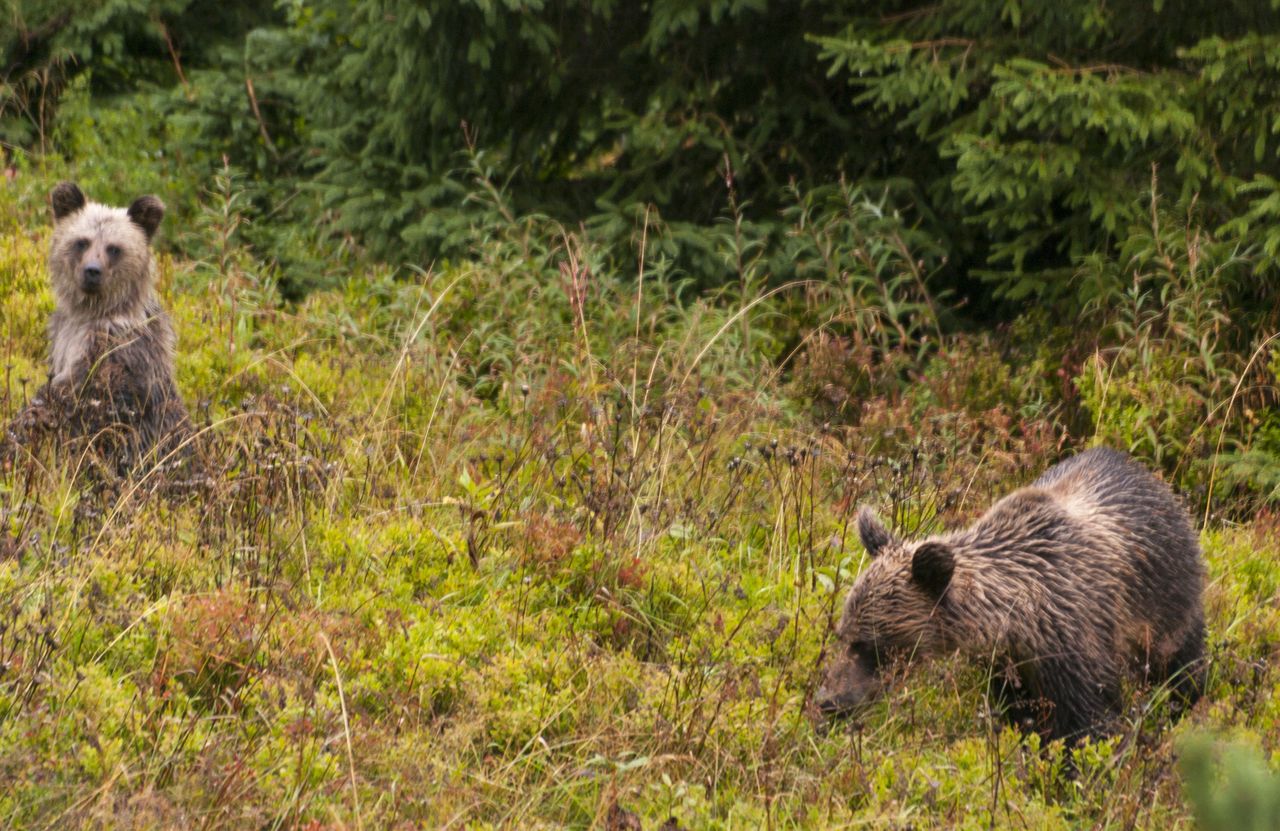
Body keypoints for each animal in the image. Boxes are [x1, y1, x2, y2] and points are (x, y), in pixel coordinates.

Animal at [3, 183, 189, 473]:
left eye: (114, 248)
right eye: (82, 242)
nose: (92, 271)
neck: (92, 311)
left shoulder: (115, 349)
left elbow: (76, 393)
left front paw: (23, 422)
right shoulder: (63, 334)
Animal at [814, 450, 1203, 742]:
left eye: (869, 644)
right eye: (843, 635)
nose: (828, 700)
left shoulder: (1080, 642)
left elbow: (1091, 723)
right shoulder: (1009, 667)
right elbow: (1022, 716)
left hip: (1167, 604)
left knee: (1183, 665)